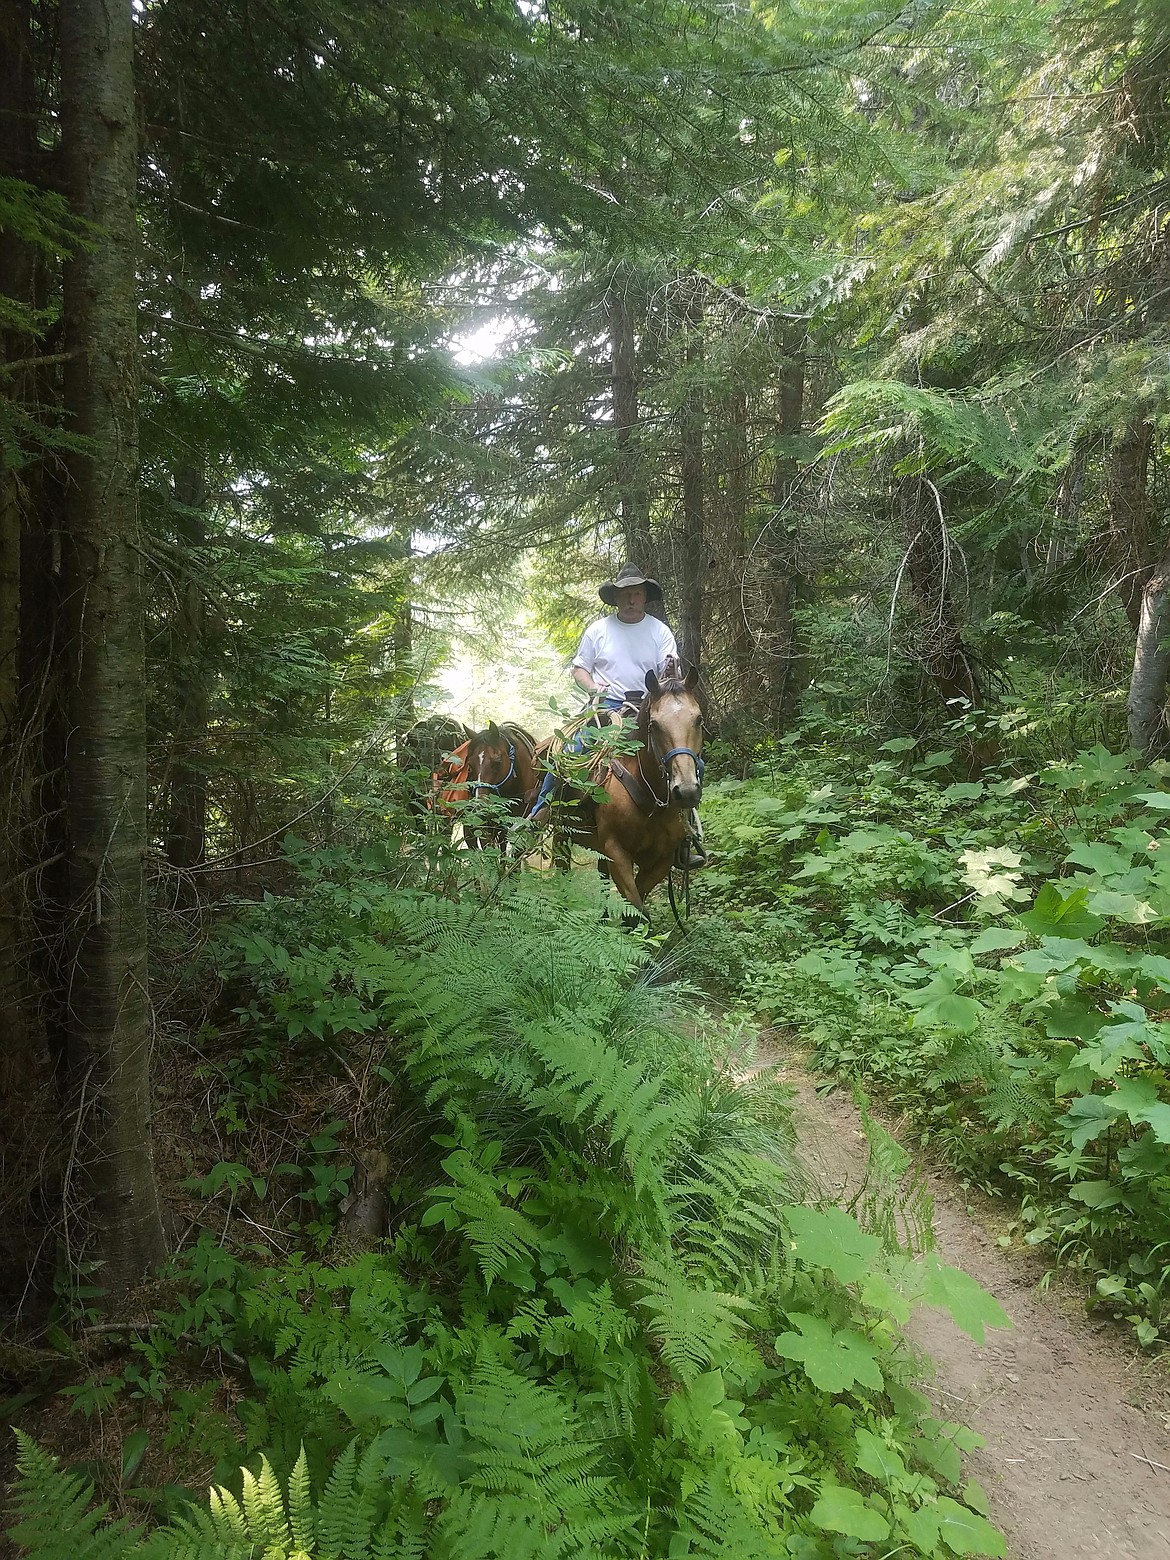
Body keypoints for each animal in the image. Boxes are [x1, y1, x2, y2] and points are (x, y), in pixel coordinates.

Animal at [552, 655, 705, 911]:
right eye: (654, 725)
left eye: (699, 719)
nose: (685, 791)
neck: (652, 799)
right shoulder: (617, 853)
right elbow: (635, 909)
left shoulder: (662, 859)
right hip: (561, 834)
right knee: (561, 869)